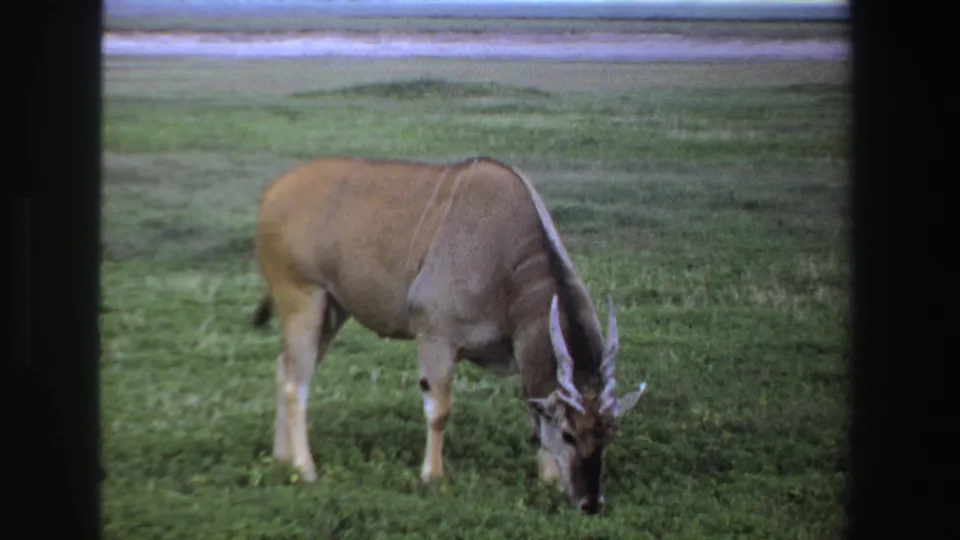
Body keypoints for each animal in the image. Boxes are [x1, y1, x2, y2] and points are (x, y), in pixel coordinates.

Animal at [251, 156, 647, 514]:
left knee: (283, 367)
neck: (508, 257)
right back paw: (306, 469)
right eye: (569, 434)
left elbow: (532, 409)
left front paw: (548, 477)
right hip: (303, 299)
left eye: (610, 433)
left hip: (332, 311)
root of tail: (272, 193)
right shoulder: (434, 335)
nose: (590, 503)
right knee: (296, 383)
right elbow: (439, 410)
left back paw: (281, 457)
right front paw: (432, 477)